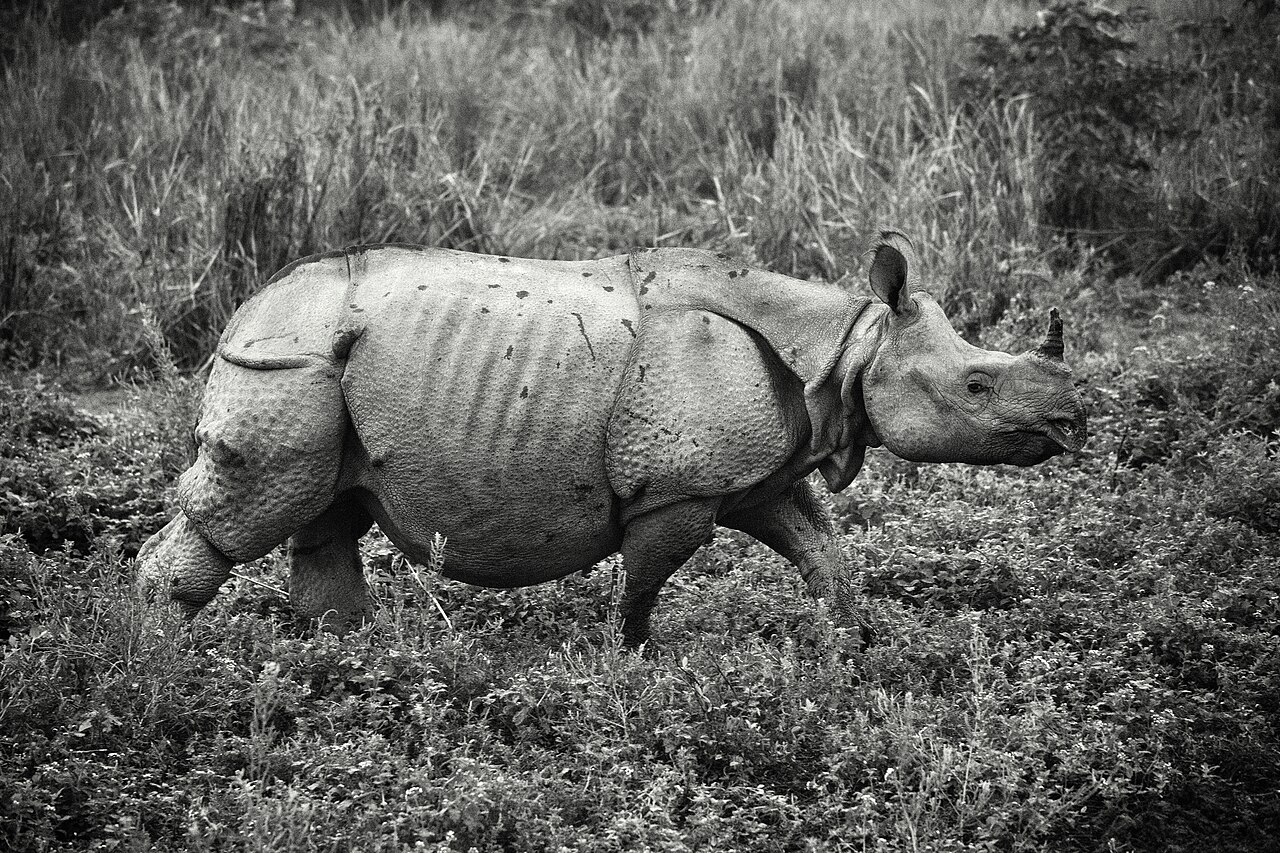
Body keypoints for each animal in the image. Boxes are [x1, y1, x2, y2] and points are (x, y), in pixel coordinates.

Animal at [137, 230, 1087, 644]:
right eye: (976, 386)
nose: (1072, 424)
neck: (845, 344)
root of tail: (244, 309)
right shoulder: (677, 487)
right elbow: (646, 579)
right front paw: (628, 661)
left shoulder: (760, 474)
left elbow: (821, 550)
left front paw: (851, 652)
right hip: (284, 366)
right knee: (251, 509)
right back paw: (156, 656)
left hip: (322, 367)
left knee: (327, 507)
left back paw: (350, 658)